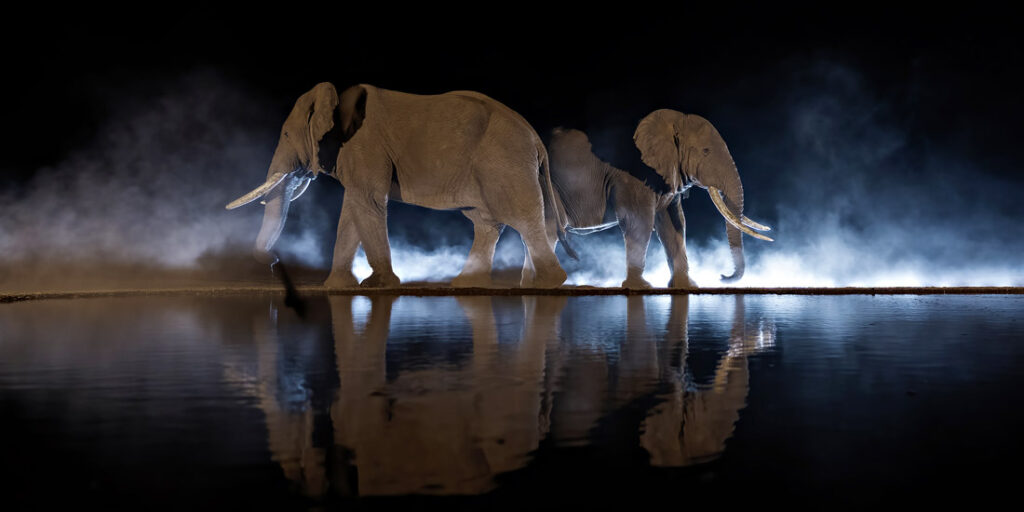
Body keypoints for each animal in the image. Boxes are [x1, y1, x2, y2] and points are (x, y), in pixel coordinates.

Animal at [226, 83, 572, 288]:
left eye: (285, 135)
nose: (274, 262)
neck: (335, 97)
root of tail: (535, 136)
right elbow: (352, 210)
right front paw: (336, 288)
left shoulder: (365, 147)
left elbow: (367, 203)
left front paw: (377, 286)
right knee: (487, 222)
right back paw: (467, 285)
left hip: (504, 161)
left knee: (521, 217)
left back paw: (548, 283)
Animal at [548, 110, 772, 288]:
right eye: (706, 151)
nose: (722, 276)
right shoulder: (633, 175)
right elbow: (640, 222)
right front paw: (640, 287)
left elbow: (673, 224)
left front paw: (686, 286)